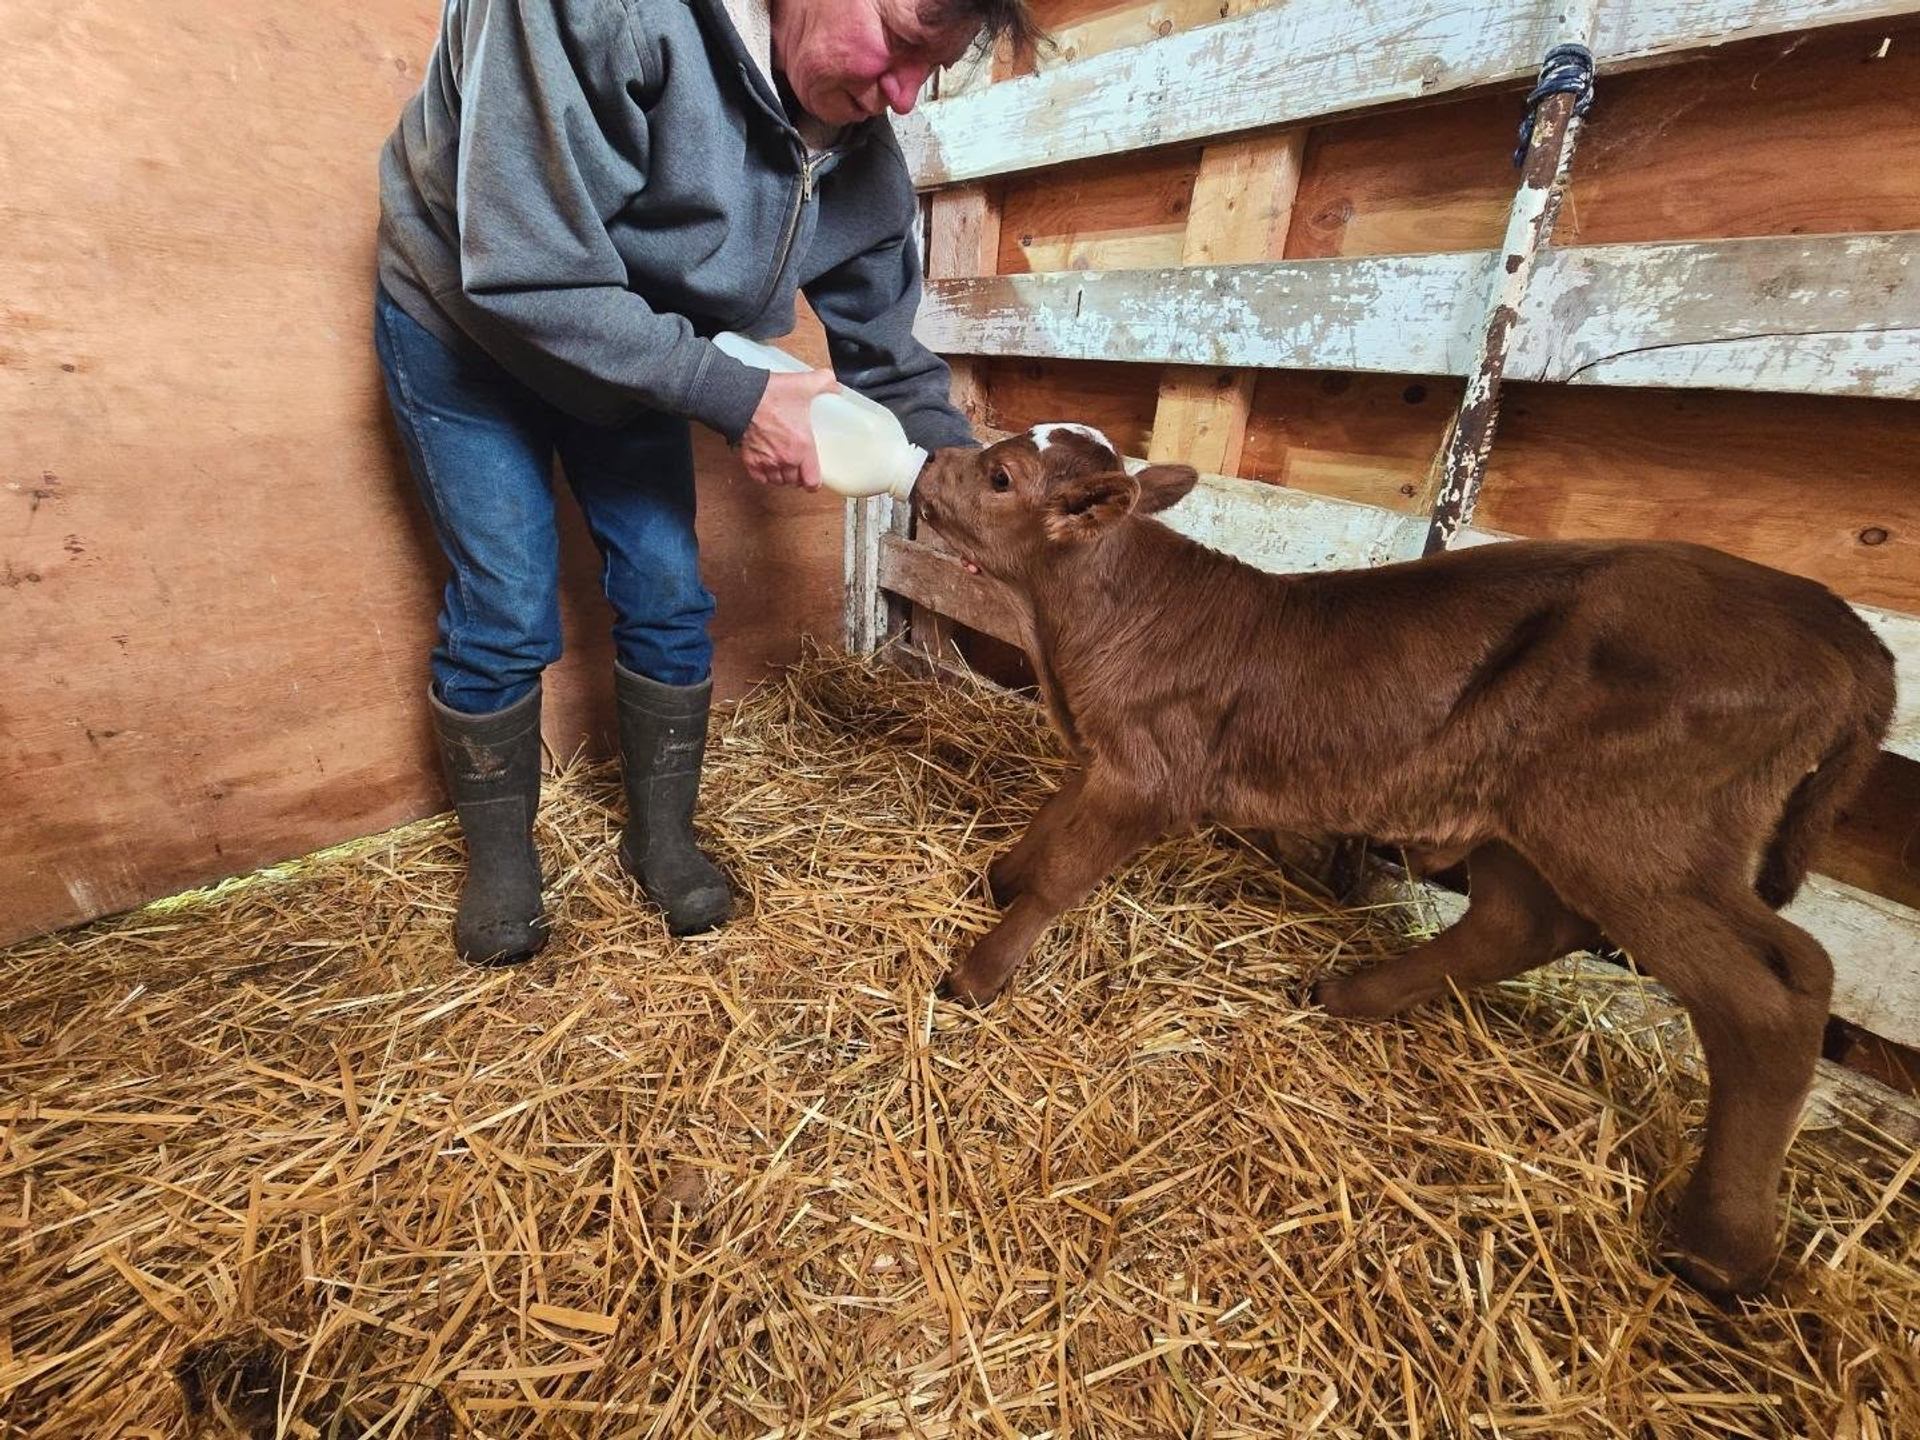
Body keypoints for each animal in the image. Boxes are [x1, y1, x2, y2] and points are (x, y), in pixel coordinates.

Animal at [911, 424, 1897, 1296]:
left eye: (998, 477)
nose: (927, 462)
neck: (1082, 628)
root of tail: (1847, 633)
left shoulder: (1152, 770)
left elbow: (1064, 869)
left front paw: (977, 973)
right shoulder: (1107, 749)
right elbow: (1052, 821)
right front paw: (998, 878)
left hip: (1636, 831)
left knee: (1777, 989)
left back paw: (1719, 1248)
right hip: (1526, 817)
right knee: (1522, 921)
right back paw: (1348, 995)